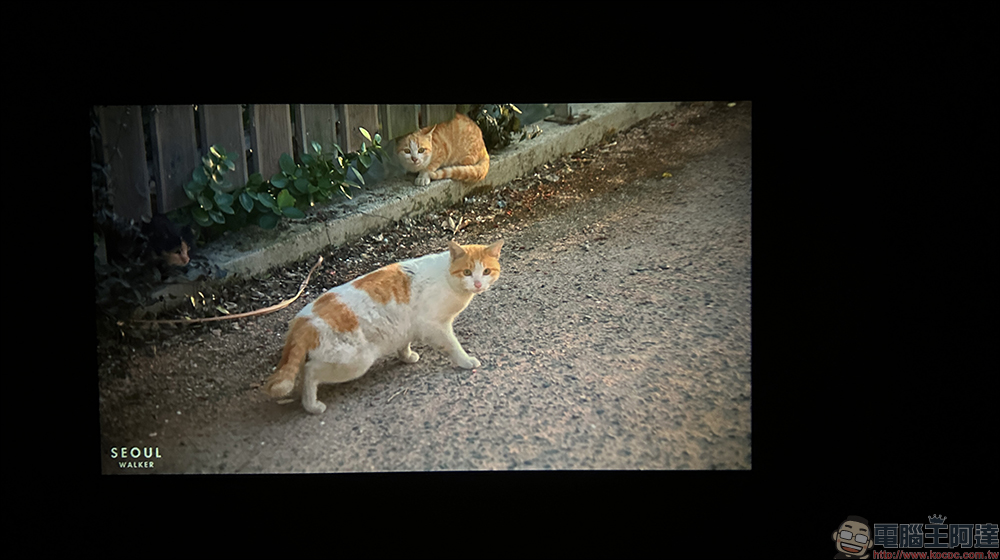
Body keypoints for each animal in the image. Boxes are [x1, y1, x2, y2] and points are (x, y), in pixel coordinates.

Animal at [264, 238, 504, 414]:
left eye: (486, 271)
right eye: (467, 272)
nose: (478, 284)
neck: (447, 277)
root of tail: (301, 322)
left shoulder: (407, 325)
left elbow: (404, 342)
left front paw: (406, 356)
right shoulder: (435, 326)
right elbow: (454, 346)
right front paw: (466, 361)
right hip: (355, 362)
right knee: (309, 371)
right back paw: (312, 406)